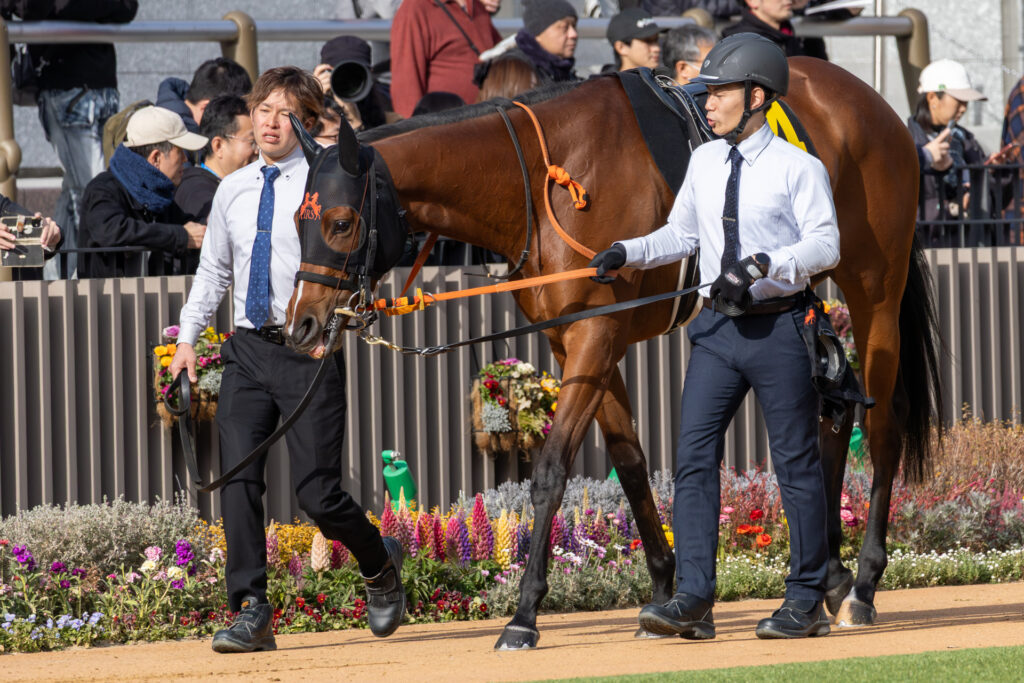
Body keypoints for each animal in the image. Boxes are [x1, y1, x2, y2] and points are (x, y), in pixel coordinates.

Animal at [283, 57, 942, 649]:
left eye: (340, 222)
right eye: (297, 220)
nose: (303, 323)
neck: (546, 178)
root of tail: (874, 103)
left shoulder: (594, 338)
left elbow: (551, 471)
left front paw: (525, 614)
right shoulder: (581, 339)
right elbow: (629, 464)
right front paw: (671, 594)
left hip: (874, 292)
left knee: (880, 425)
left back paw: (861, 584)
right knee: (832, 417)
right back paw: (827, 575)